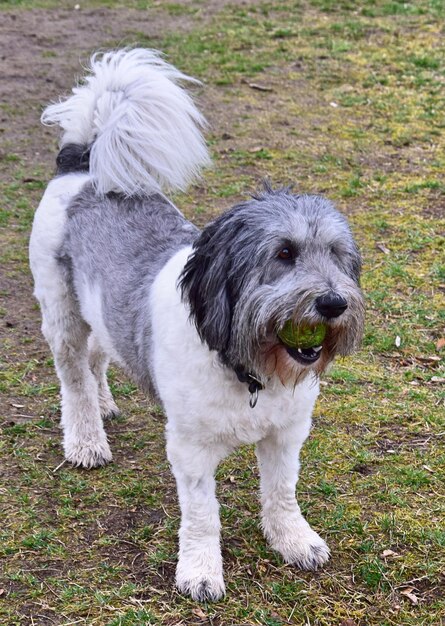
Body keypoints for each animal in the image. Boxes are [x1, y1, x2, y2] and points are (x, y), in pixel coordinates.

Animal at [30, 47, 364, 600]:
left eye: (337, 255)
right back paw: (86, 437)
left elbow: (281, 492)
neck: (248, 368)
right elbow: (204, 514)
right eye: (284, 254)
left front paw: (293, 540)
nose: (334, 303)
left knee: (101, 355)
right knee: (73, 376)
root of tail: (82, 167)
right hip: (61, 313)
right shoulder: (189, 449)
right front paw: (201, 571)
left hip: (99, 310)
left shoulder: (286, 433)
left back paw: (105, 403)